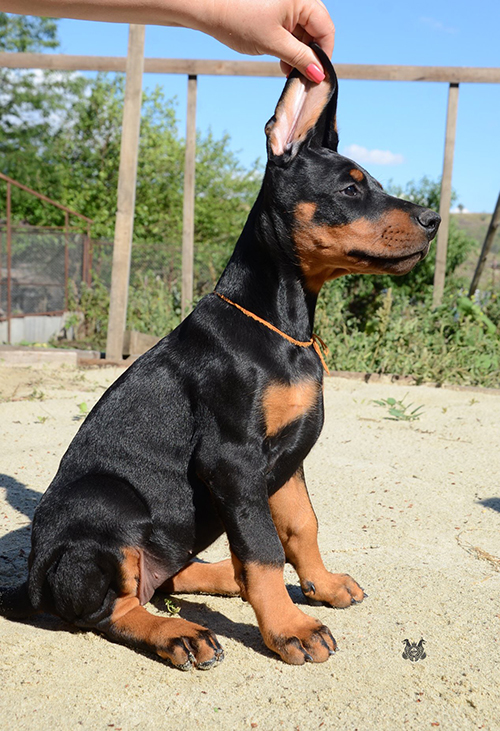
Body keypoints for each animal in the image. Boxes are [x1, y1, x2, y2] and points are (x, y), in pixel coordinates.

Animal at [0, 45, 440, 669]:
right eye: (351, 190)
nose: (434, 220)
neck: (283, 327)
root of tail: (31, 579)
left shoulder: (286, 459)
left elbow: (300, 527)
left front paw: (322, 586)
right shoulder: (233, 459)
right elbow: (262, 547)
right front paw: (290, 628)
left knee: (164, 577)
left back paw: (224, 580)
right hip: (106, 501)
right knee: (111, 607)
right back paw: (179, 633)